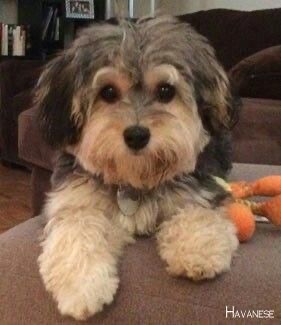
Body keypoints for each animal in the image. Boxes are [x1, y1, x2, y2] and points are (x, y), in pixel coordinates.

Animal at [35, 15, 238, 318]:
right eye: (108, 92)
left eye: (166, 91)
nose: (137, 135)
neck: (135, 180)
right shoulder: (75, 203)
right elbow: (77, 230)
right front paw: (82, 287)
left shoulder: (199, 192)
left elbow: (196, 213)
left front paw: (197, 251)